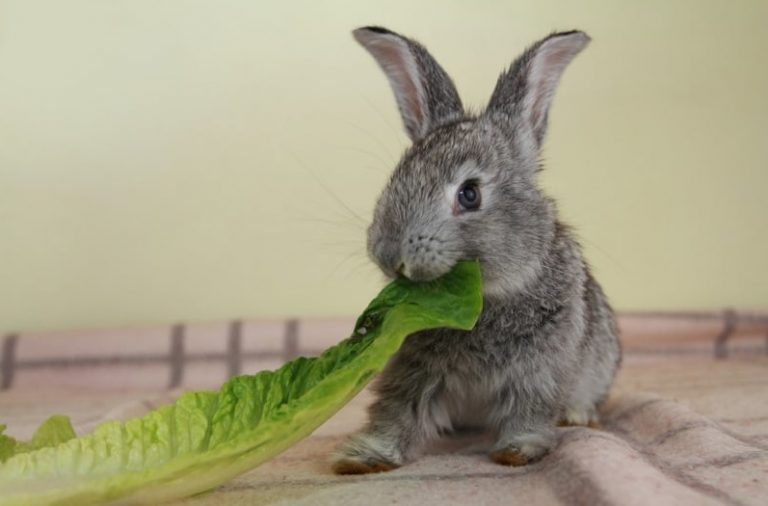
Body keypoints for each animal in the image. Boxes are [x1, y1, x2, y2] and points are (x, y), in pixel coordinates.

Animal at [331, 26, 621, 474]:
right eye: (396, 178)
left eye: (469, 194)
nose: (388, 255)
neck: (484, 300)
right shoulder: (412, 366)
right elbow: (397, 409)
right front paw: (363, 457)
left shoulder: (540, 366)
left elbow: (529, 409)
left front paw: (517, 451)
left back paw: (578, 416)